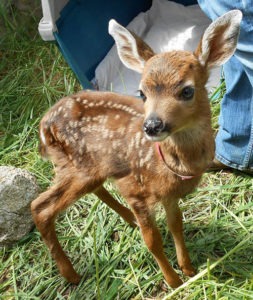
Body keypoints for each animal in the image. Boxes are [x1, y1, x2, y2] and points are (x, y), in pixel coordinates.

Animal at [30, 9, 242, 288]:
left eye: (187, 91)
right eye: (141, 93)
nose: (152, 125)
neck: (170, 165)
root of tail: (44, 125)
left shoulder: (169, 195)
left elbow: (177, 225)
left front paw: (189, 269)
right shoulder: (135, 190)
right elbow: (152, 241)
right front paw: (173, 282)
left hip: (86, 168)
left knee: (93, 190)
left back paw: (127, 222)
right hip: (76, 168)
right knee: (40, 208)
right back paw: (72, 275)